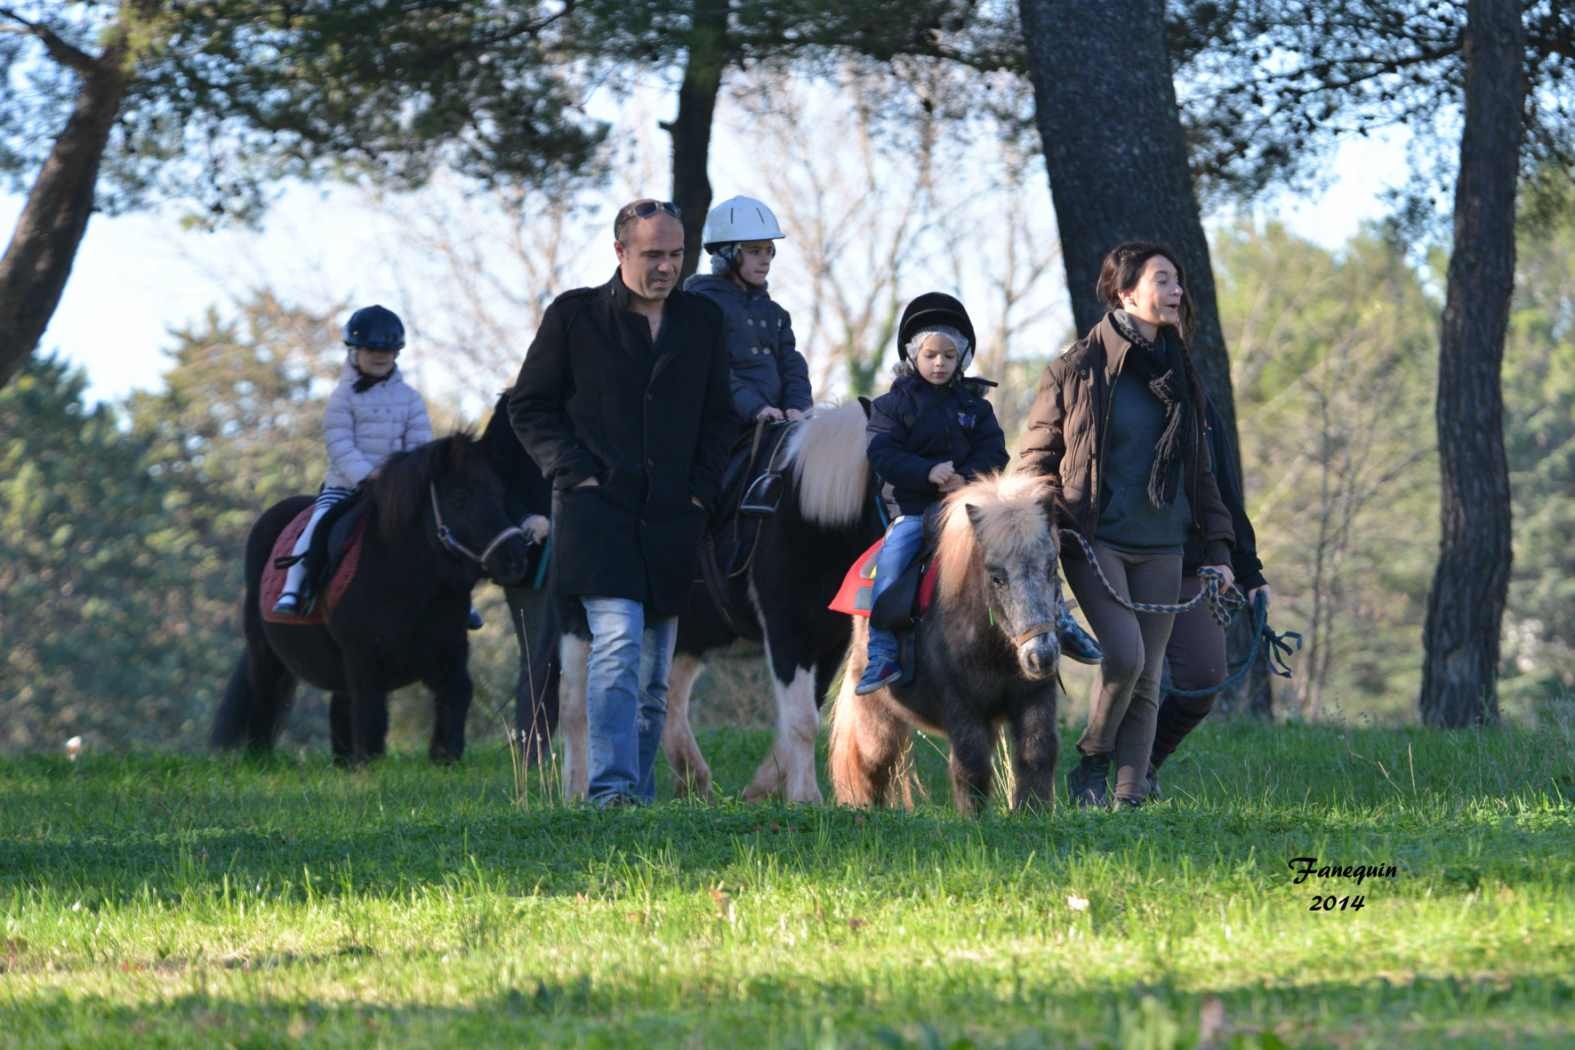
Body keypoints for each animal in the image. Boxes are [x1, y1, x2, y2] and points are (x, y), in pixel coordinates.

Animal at [209, 431, 535, 768]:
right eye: (460, 497)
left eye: (498, 492)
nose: (515, 559)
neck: (408, 585)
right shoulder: (365, 659)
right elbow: (372, 714)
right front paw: (371, 766)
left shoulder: (449, 652)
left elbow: (457, 695)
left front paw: (444, 757)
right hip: (264, 649)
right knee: (264, 697)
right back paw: (259, 758)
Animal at [554, 402, 882, 805]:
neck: (807, 511)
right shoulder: (787, 631)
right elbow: (803, 720)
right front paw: (805, 797)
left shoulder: (830, 641)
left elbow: (805, 713)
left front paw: (762, 788)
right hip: (579, 621)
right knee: (575, 705)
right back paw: (576, 790)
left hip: (686, 635)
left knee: (670, 700)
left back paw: (693, 780)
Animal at [831, 475, 1064, 812]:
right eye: (997, 577)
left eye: (1051, 568)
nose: (1041, 656)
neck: (993, 648)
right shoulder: (962, 707)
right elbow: (971, 767)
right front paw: (975, 817)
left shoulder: (1035, 698)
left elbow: (1037, 754)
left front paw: (1032, 812)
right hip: (877, 715)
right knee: (872, 764)